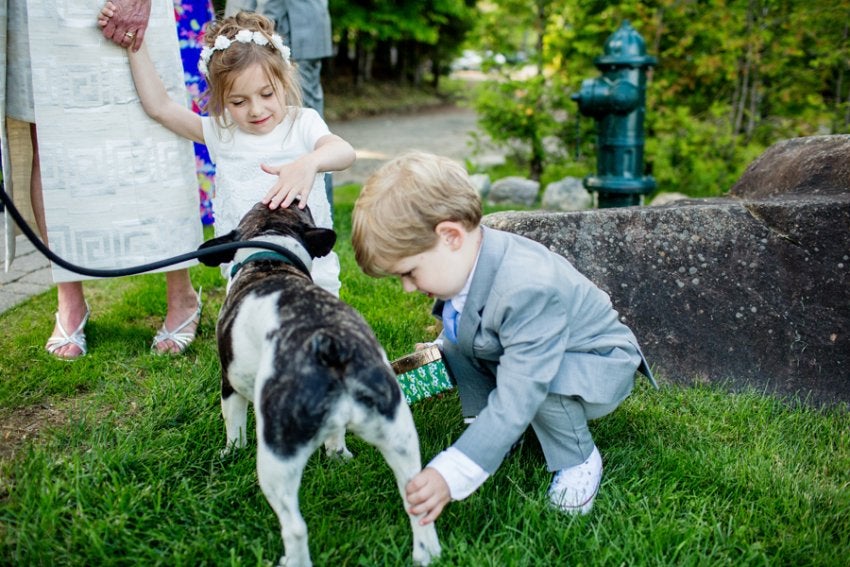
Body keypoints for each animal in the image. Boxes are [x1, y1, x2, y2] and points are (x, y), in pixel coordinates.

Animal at [196, 204, 440, 567]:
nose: (299, 198)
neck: (269, 255)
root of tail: (330, 342)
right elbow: (335, 439)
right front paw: (337, 455)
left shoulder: (230, 382)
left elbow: (233, 425)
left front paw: (230, 451)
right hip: (398, 432)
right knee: (415, 495)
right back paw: (428, 553)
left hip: (277, 455)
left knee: (295, 526)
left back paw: (292, 560)